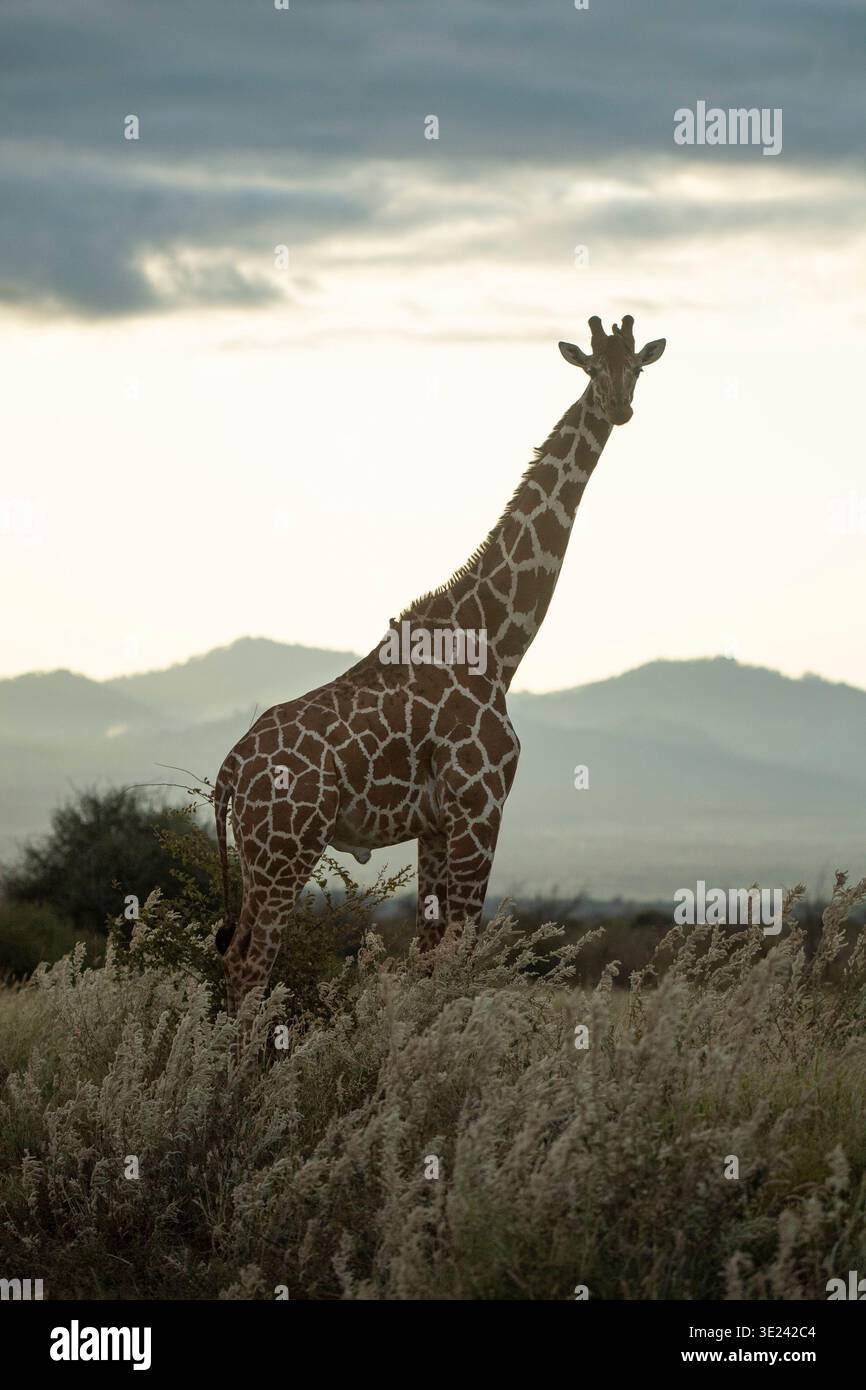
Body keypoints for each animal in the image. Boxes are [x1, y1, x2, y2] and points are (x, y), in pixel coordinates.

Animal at [214, 314, 666, 1016]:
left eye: (637, 366)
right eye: (592, 367)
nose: (619, 406)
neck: (498, 645)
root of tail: (232, 769)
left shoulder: (434, 824)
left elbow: (427, 961)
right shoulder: (481, 807)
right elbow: (459, 954)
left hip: (261, 853)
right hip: (285, 849)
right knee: (248, 963)